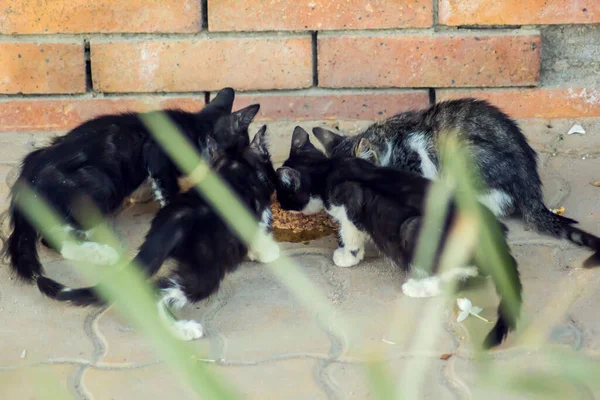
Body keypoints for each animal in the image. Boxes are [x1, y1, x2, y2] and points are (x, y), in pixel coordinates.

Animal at [7, 86, 260, 282]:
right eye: (243, 147)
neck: (198, 129)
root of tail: (26, 180)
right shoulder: (158, 158)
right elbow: (170, 194)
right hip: (99, 184)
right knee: (54, 238)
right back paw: (100, 250)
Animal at [37, 126, 282, 340]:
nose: (275, 176)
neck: (233, 167)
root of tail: (172, 219)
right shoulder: (258, 211)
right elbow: (260, 232)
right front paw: (268, 252)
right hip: (207, 268)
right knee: (159, 291)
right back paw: (183, 330)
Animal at [278, 127, 524, 346]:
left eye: (281, 194)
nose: (279, 204)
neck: (328, 169)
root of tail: (492, 235)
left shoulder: (350, 207)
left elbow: (351, 235)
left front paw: (347, 257)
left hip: (413, 229)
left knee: (459, 277)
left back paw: (417, 286)